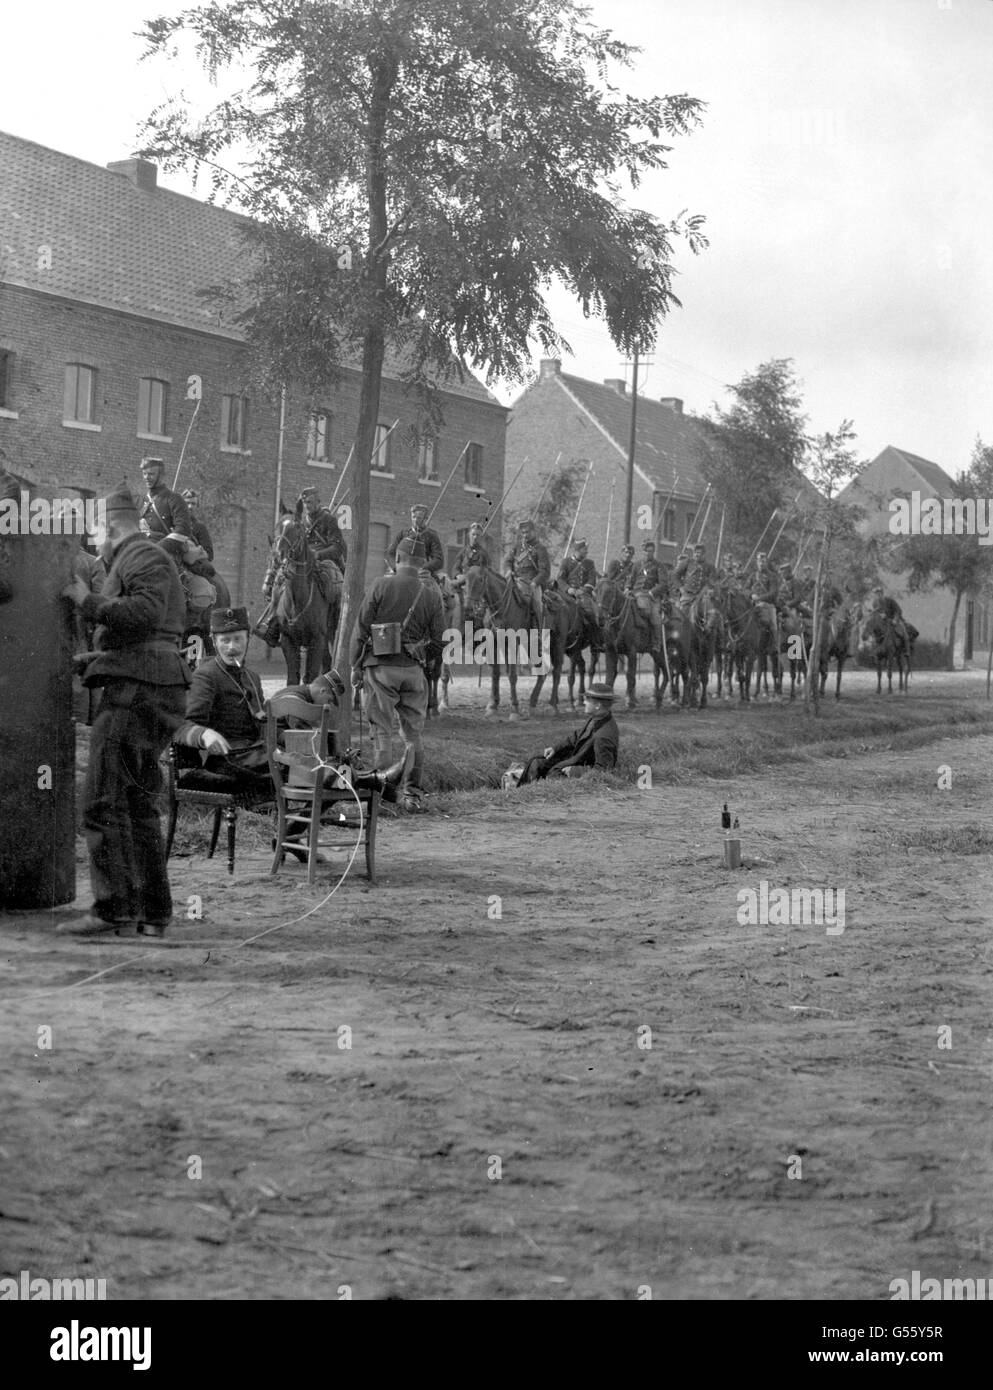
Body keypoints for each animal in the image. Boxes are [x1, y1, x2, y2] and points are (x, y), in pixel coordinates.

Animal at [265, 505, 337, 689]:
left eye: (296, 527)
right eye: (277, 526)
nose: (278, 555)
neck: (297, 602)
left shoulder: (317, 641)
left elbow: (311, 677)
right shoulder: (289, 642)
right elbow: (292, 680)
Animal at [595, 575, 664, 711]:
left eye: (609, 592)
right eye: (596, 591)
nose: (600, 618)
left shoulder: (631, 651)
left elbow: (630, 675)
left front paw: (630, 702)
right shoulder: (610, 651)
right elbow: (610, 676)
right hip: (655, 653)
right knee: (661, 671)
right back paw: (657, 698)